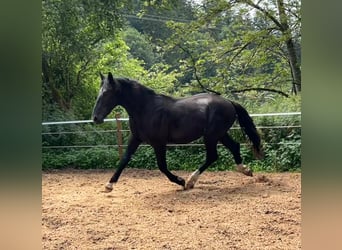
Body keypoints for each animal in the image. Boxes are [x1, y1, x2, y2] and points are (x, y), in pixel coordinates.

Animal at [92, 72, 264, 191]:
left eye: (107, 93)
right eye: (99, 92)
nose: (95, 118)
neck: (146, 108)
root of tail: (229, 102)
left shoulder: (159, 143)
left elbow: (162, 166)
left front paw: (180, 181)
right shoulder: (136, 139)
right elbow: (125, 159)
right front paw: (109, 185)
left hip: (211, 135)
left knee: (212, 156)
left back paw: (190, 181)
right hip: (219, 134)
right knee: (234, 147)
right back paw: (246, 170)